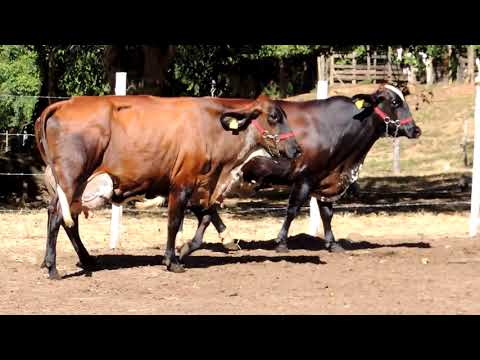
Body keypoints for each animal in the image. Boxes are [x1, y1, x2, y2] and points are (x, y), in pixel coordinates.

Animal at [35, 93, 300, 278]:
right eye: (274, 117)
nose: (296, 149)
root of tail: (64, 104)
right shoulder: (182, 183)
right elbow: (174, 222)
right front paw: (172, 261)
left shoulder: (201, 186)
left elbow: (206, 218)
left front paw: (187, 250)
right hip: (71, 179)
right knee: (58, 217)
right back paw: (53, 267)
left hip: (74, 187)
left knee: (64, 218)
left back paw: (85, 259)